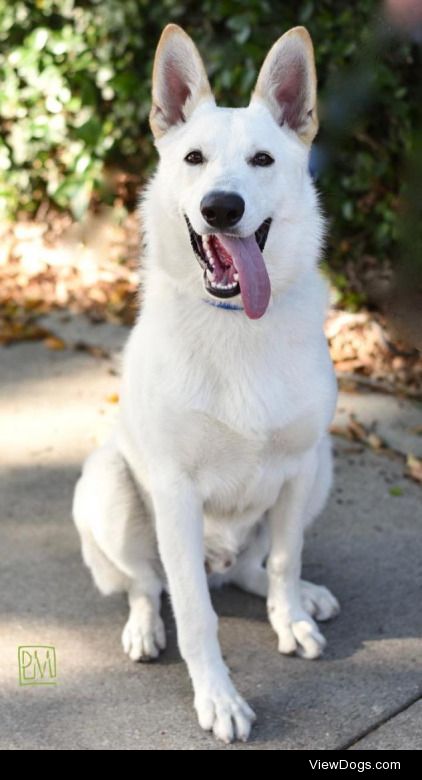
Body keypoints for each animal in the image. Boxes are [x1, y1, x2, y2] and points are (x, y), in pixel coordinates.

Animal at [74, 24, 340, 744]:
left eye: (262, 160)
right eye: (193, 158)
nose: (222, 208)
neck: (236, 324)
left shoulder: (299, 468)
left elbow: (285, 560)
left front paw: (290, 614)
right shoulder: (174, 491)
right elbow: (196, 615)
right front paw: (218, 698)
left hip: (323, 467)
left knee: (256, 564)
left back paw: (295, 600)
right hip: (110, 487)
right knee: (147, 583)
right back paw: (144, 627)